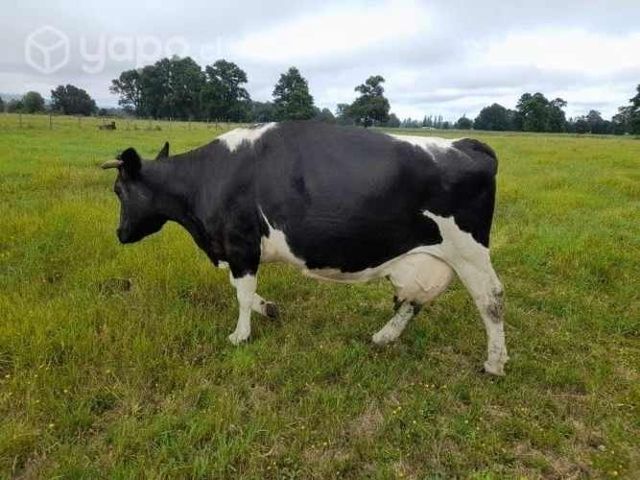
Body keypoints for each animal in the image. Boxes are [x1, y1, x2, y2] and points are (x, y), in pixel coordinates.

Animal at [101, 121, 508, 375]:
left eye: (118, 190)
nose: (119, 233)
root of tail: (466, 144)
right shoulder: (237, 251)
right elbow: (243, 291)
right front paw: (268, 308)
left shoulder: (241, 244)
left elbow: (241, 293)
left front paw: (240, 335)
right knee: (413, 300)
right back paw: (384, 336)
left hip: (469, 251)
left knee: (491, 299)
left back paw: (495, 363)